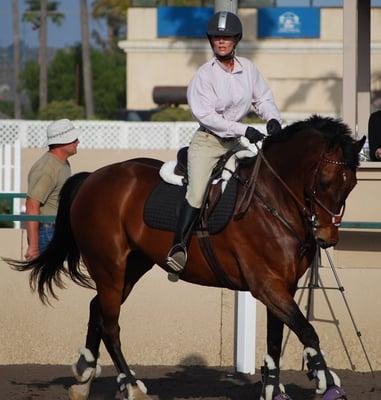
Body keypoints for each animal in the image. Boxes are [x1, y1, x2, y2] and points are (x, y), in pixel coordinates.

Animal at [7, 115, 364, 400]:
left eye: (353, 185)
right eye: (324, 181)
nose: (327, 238)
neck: (272, 201)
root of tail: (92, 177)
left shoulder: (283, 286)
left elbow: (278, 338)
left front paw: (275, 389)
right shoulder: (265, 284)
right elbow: (307, 330)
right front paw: (326, 381)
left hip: (131, 267)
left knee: (97, 309)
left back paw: (83, 376)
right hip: (110, 267)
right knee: (110, 324)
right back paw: (131, 385)